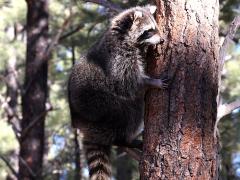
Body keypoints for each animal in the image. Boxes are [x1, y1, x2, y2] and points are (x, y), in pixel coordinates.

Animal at [68, 4, 167, 179]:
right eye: (149, 30)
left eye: (155, 28)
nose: (162, 40)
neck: (122, 35)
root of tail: (81, 123)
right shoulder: (118, 56)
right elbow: (126, 82)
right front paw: (151, 82)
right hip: (101, 106)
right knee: (131, 112)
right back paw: (126, 139)